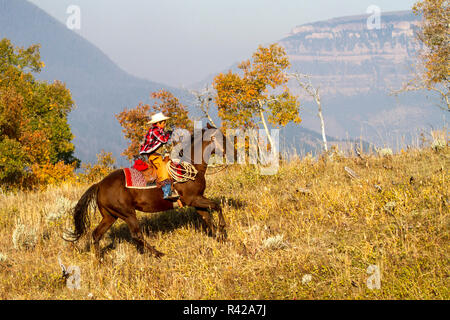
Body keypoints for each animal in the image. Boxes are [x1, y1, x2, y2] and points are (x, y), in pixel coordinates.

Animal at [65, 124, 227, 258]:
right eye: (221, 137)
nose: (231, 150)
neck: (190, 166)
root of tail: (99, 184)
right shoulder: (193, 199)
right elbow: (217, 206)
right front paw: (223, 229)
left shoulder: (197, 200)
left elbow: (208, 217)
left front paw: (220, 237)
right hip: (128, 214)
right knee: (137, 235)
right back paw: (158, 253)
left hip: (110, 216)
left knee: (96, 234)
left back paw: (100, 261)